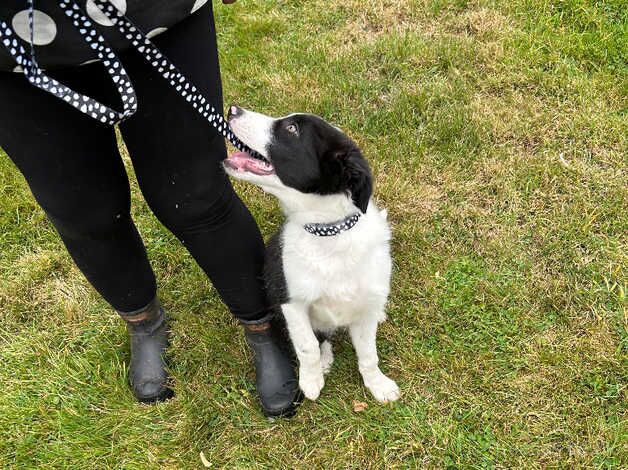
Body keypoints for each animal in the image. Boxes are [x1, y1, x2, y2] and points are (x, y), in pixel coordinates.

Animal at [223, 106, 400, 404]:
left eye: (292, 129)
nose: (232, 109)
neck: (329, 235)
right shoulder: (291, 302)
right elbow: (308, 347)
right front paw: (311, 380)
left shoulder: (364, 304)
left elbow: (368, 354)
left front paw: (378, 384)